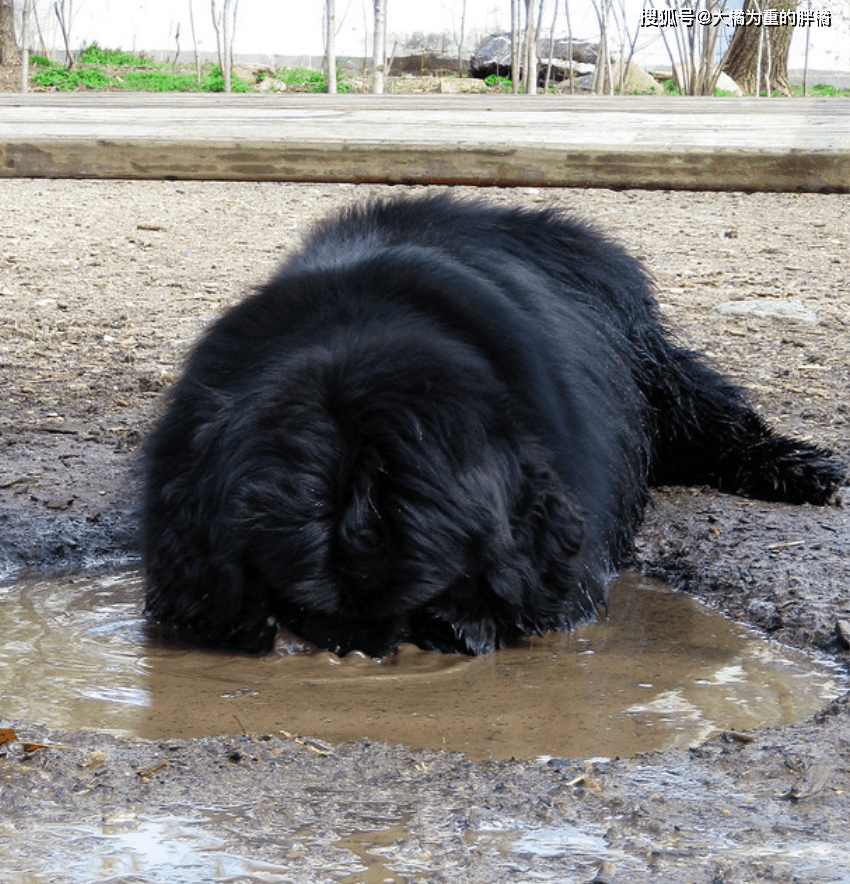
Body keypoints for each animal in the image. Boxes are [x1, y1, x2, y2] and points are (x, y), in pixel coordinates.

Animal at [141, 199, 840, 656]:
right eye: (302, 605)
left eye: (417, 599)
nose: (364, 652)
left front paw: (465, 622)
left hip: (649, 358)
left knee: (703, 410)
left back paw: (800, 469)